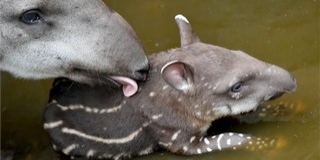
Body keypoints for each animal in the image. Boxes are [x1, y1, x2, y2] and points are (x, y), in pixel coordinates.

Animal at [43, 14, 298, 159]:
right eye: (236, 86)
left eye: (241, 53)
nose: (292, 81)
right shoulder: (177, 136)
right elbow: (230, 138)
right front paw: (274, 144)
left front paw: (292, 108)